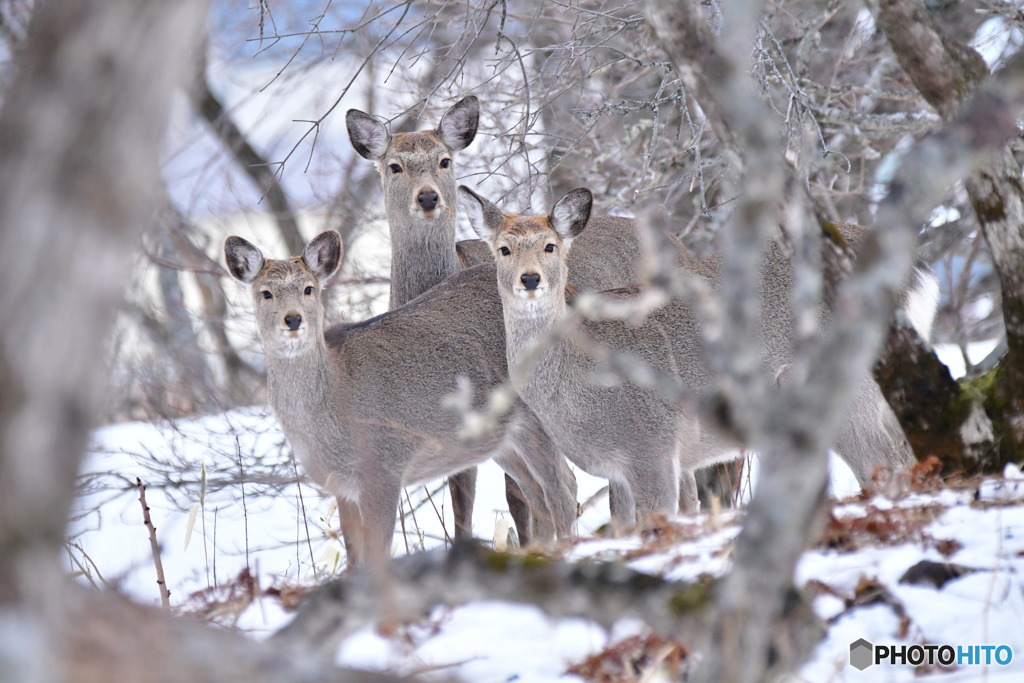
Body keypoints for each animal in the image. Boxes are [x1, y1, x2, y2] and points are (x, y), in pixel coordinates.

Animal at [224, 232, 577, 565]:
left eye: (309, 289)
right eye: (265, 293)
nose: (293, 319)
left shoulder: (384, 467)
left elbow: (377, 555)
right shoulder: (342, 485)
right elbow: (355, 558)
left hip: (540, 412)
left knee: (563, 487)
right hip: (501, 438)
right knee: (536, 493)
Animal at [462, 184, 937, 528]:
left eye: (550, 246)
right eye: (503, 248)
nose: (529, 279)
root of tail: (920, 275)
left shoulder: (652, 447)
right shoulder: (622, 469)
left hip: (851, 390)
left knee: (888, 463)